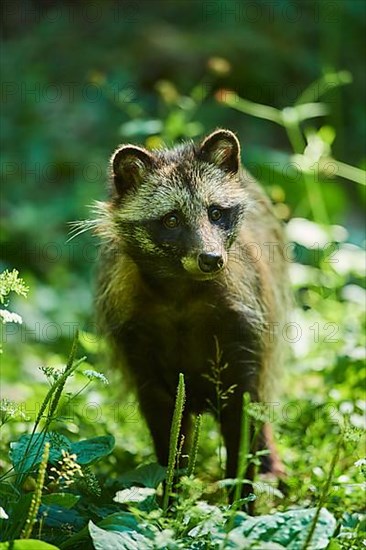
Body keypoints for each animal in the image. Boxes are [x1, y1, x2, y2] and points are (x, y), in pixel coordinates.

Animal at [96, 129, 290, 500]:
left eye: (215, 213)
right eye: (171, 219)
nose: (211, 259)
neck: (182, 290)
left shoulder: (244, 321)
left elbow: (243, 413)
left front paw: (240, 501)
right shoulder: (134, 331)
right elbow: (167, 426)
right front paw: (170, 497)